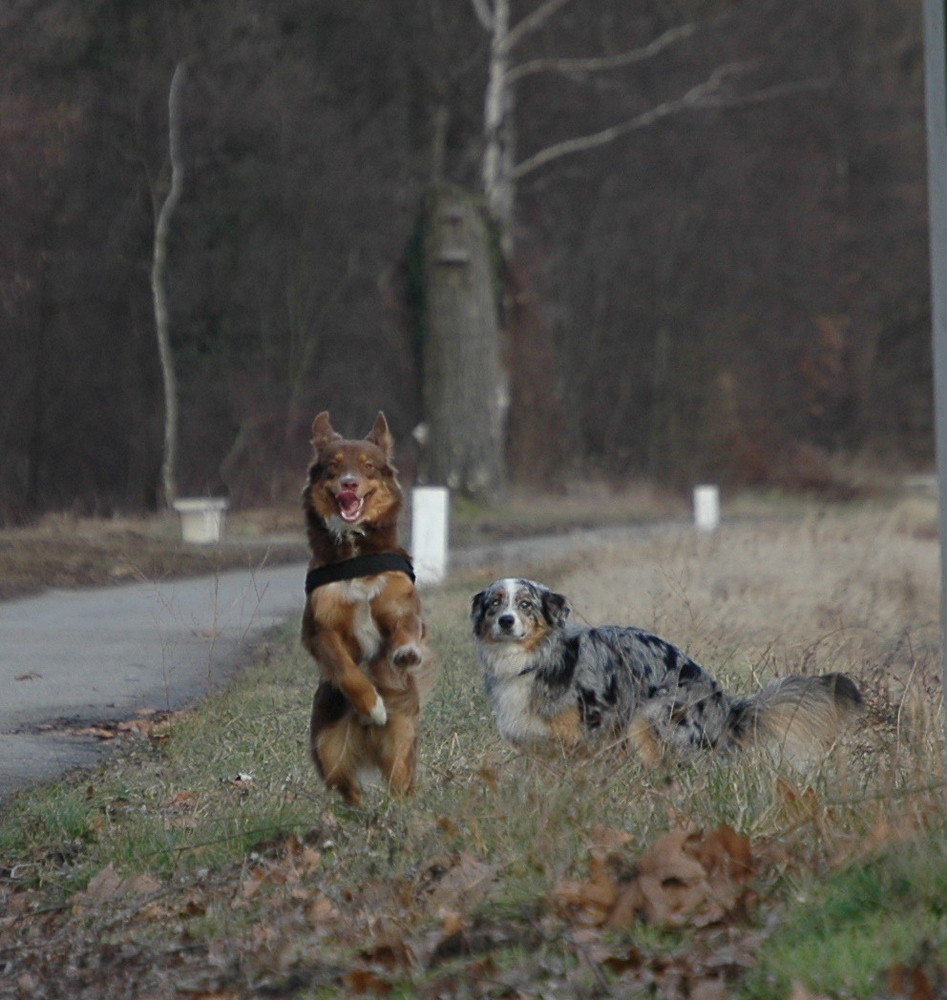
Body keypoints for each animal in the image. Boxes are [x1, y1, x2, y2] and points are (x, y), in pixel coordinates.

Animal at [300, 410, 434, 808]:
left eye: (367, 467)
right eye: (333, 466)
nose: (349, 483)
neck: (355, 551)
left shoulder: (402, 604)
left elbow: (408, 626)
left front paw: (405, 653)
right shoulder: (319, 629)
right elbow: (347, 670)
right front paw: (372, 705)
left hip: (402, 736)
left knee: (400, 780)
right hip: (328, 746)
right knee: (349, 788)